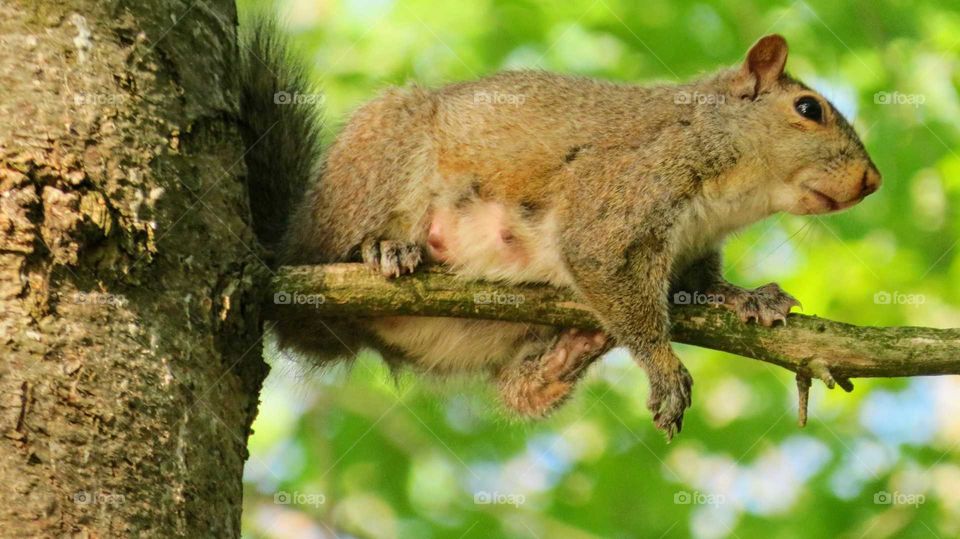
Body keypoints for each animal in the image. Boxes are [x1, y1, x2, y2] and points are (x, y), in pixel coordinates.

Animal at [239, 19, 881, 440]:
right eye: (808, 109)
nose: (872, 181)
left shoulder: (694, 248)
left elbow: (704, 286)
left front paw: (749, 298)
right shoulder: (620, 189)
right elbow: (599, 260)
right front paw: (663, 366)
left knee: (516, 392)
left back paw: (565, 357)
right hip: (375, 162)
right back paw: (383, 247)